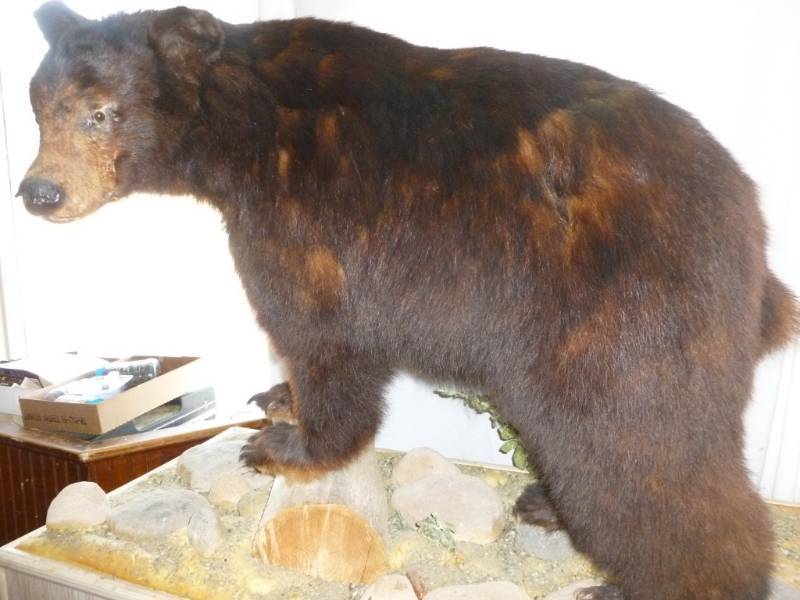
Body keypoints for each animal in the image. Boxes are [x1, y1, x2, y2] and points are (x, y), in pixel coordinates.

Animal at [18, 3, 798, 599]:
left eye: (101, 113)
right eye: (40, 109)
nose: (37, 192)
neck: (245, 130)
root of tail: (750, 228)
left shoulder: (304, 223)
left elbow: (320, 335)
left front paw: (285, 446)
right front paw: (277, 397)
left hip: (621, 317)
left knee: (640, 452)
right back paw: (546, 504)